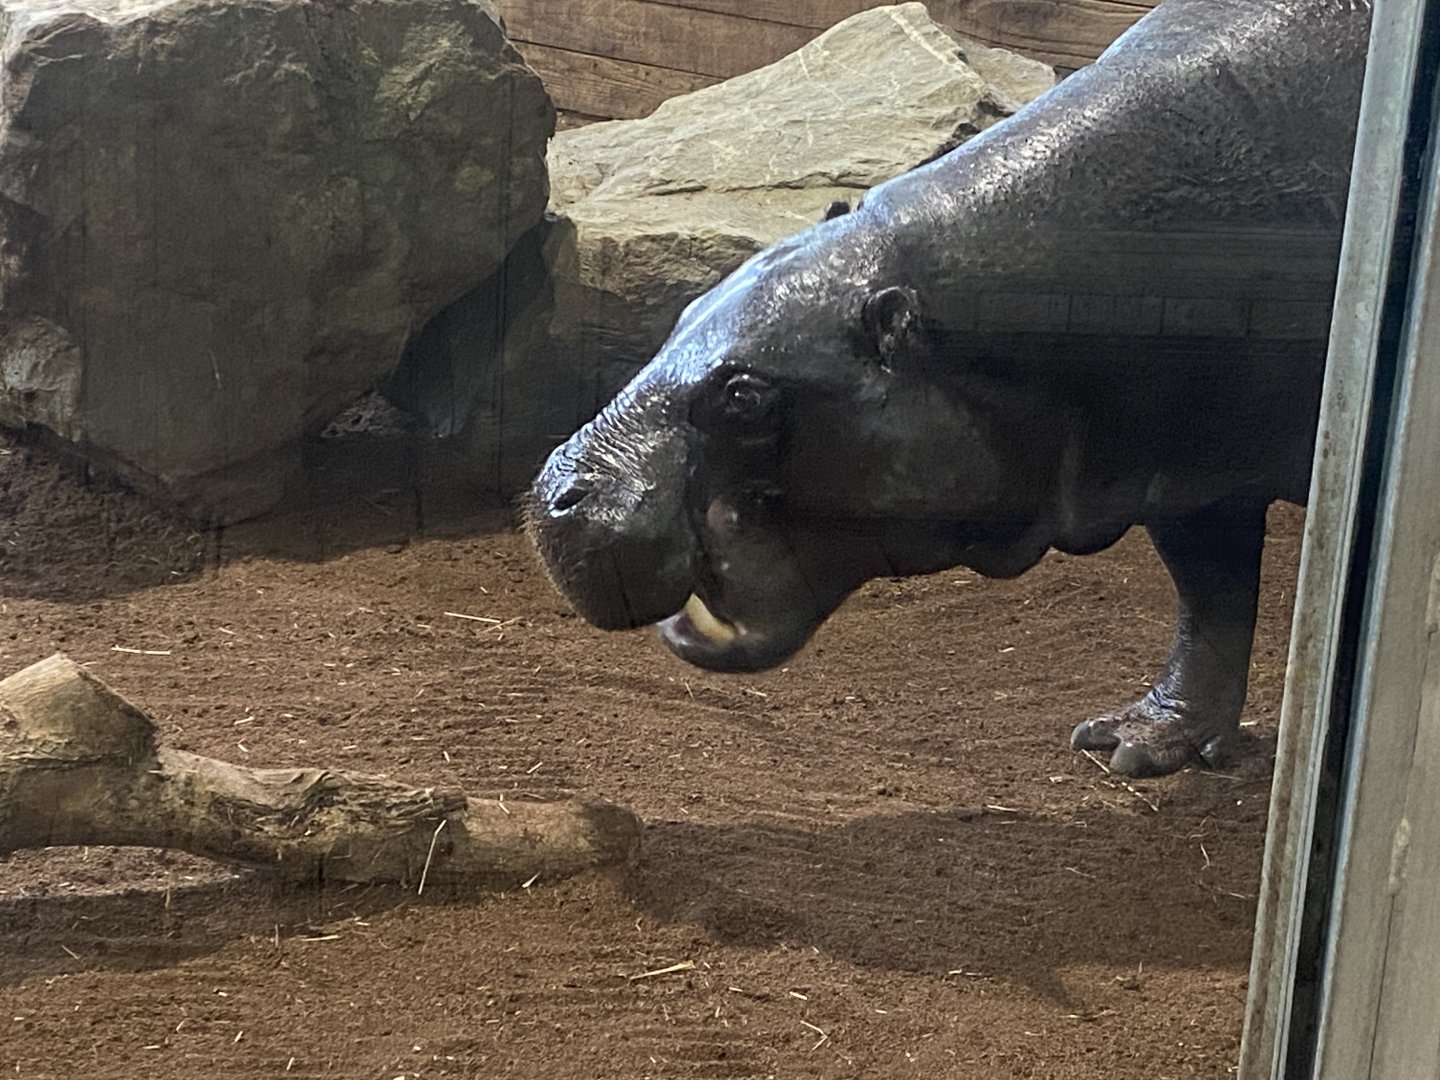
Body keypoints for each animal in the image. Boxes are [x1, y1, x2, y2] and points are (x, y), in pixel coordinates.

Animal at [525, 0, 1372, 778]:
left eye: (744, 396)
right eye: (685, 308)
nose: (554, 492)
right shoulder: (1189, 463)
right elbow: (1211, 599)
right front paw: (1133, 744)